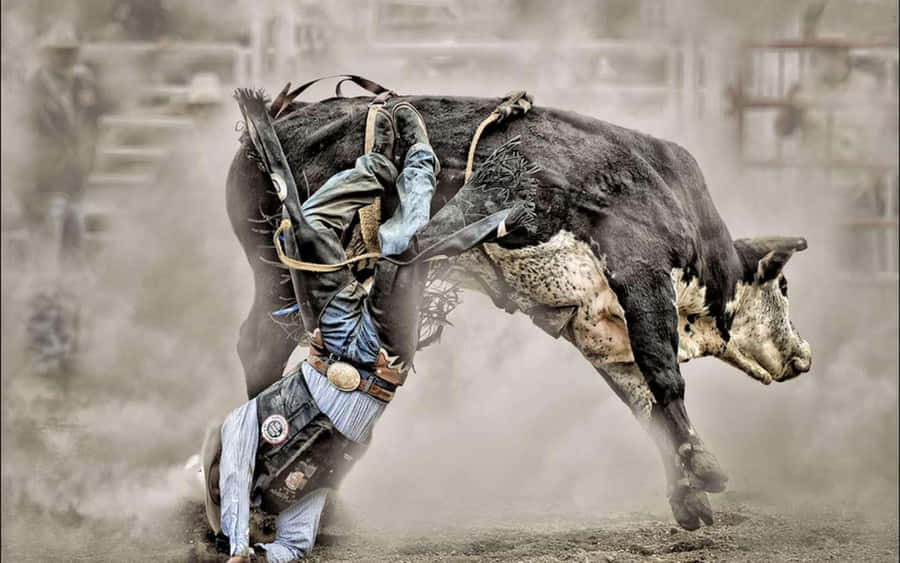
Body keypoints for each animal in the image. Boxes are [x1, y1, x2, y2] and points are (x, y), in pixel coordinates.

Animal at [225, 94, 813, 531]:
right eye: (784, 285)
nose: (803, 356)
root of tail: (277, 119)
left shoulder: (602, 334)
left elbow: (645, 403)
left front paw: (688, 499)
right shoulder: (639, 267)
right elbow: (665, 377)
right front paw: (707, 471)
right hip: (282, 271)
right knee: (262, 346)